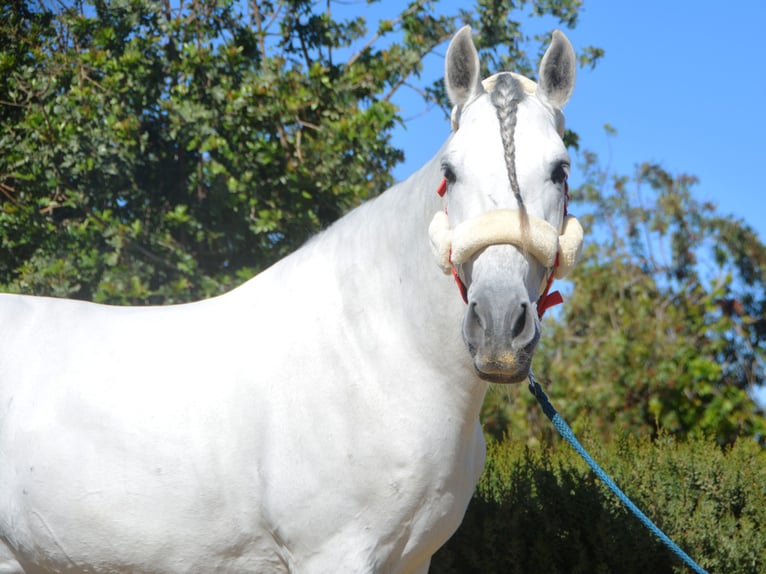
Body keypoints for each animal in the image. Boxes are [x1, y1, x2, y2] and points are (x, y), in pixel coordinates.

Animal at [0, 27, 584, 574]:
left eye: (560, 170)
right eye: (450, 171)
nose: (499, 326)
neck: (376, 356)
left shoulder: (412, 559)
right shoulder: (334, 553)